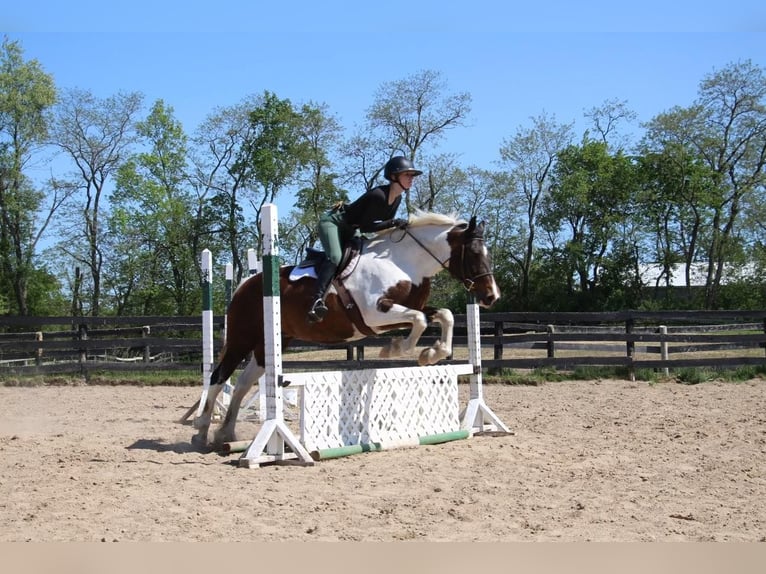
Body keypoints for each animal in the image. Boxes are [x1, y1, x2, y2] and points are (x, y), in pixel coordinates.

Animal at [195, 212, 500, 450]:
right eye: (474, 254)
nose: (491, 297)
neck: (402, 262)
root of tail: (244, 285)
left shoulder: (396, 314)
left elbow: (441, 316)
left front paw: (431, 353)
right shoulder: (376, 313)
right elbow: (421, 322)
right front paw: (397, 349)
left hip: (270, 343)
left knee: (243, 382)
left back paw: (225, 433)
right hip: (242, 338)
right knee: (218, 376)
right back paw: (201, 428)